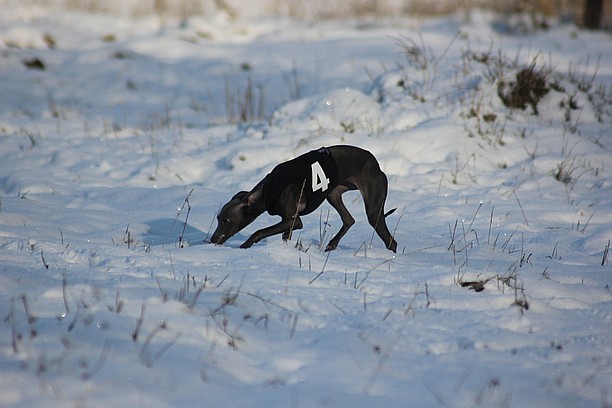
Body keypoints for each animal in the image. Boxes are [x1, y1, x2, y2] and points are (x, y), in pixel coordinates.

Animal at [210, 143, 400, 252]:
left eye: (226, 220)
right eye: (218, 218)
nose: (212, 240)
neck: (270, 188)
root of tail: (375, 163)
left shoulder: (294, 220)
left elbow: (259, 231)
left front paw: (244, 246)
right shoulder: (288, 222)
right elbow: (284, 237)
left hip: (374, 209)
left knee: (390, 241)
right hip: (333, 195)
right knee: (349, 220)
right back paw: (331, 244)